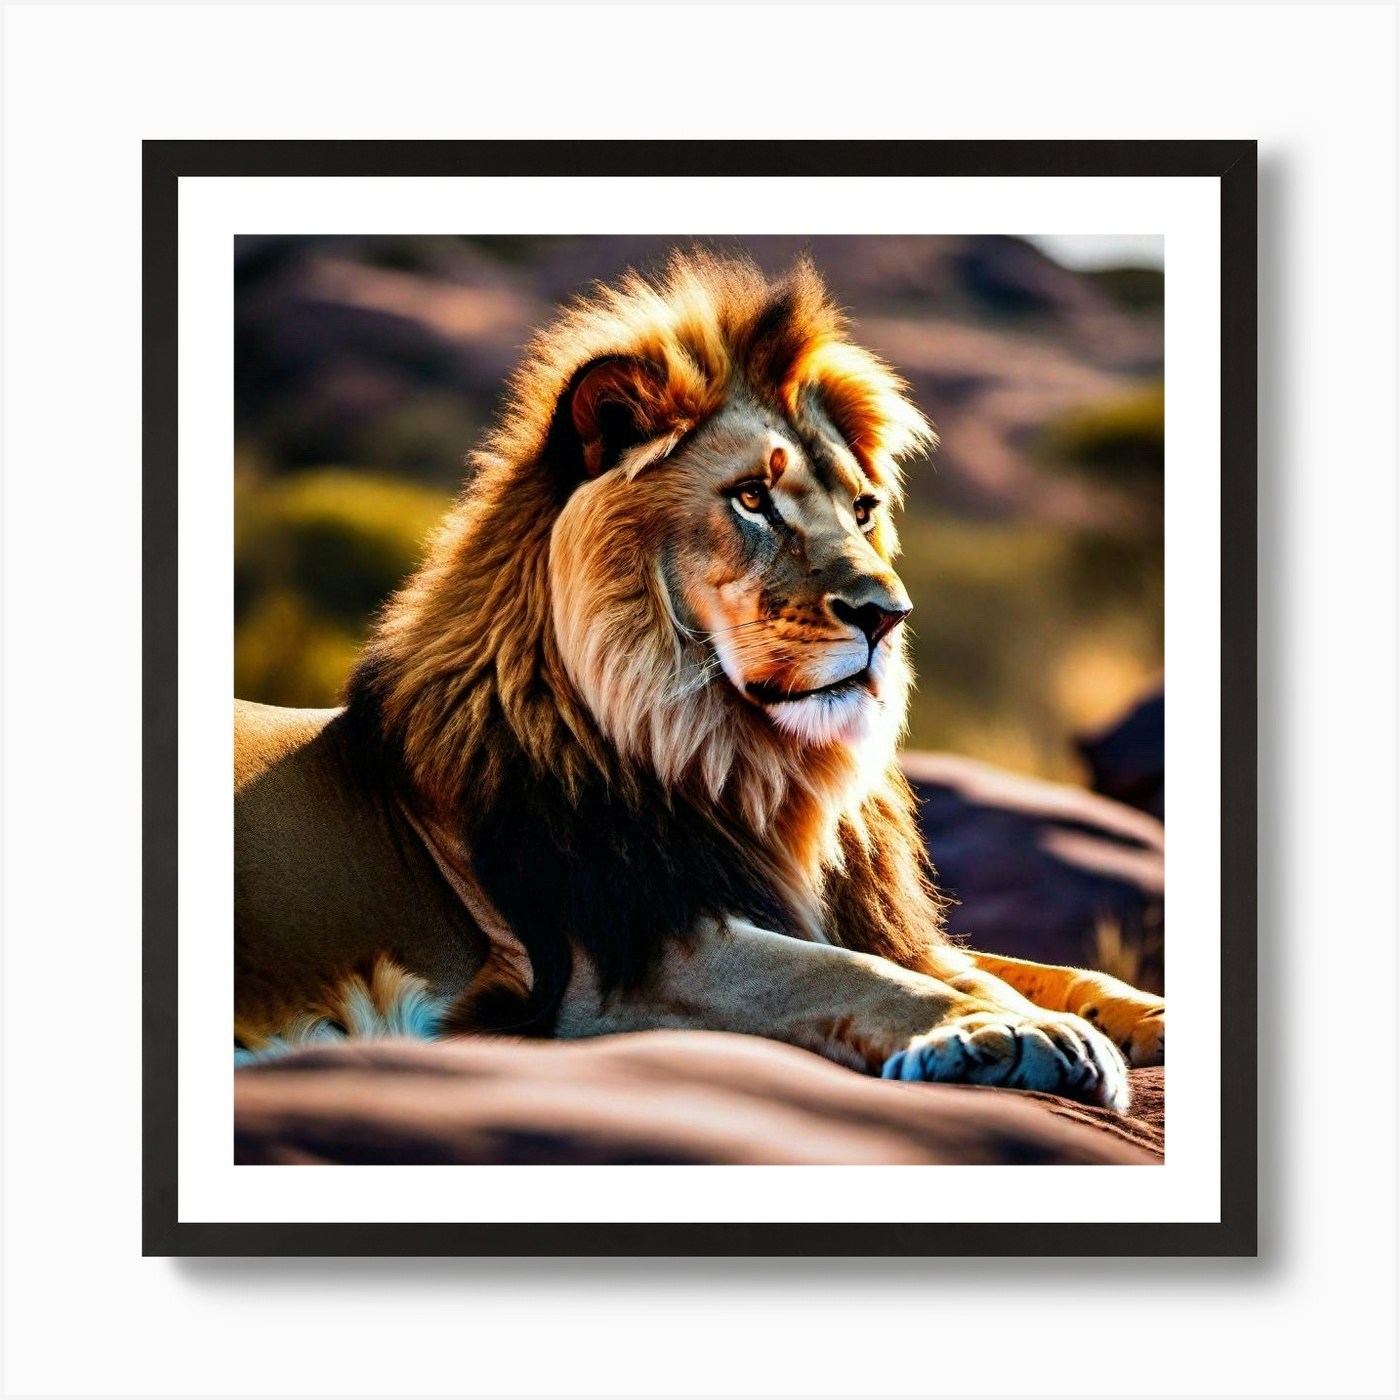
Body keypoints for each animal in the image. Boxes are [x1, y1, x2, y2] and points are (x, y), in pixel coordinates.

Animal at [235, 250, 1164, 1109]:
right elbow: (840, 972)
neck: (737, 764)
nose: (888, 615)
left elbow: (1023, 964)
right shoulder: (616, 964)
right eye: (753, 498)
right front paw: (1004, 1029)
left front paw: (1131, 1012)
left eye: (863, 510)